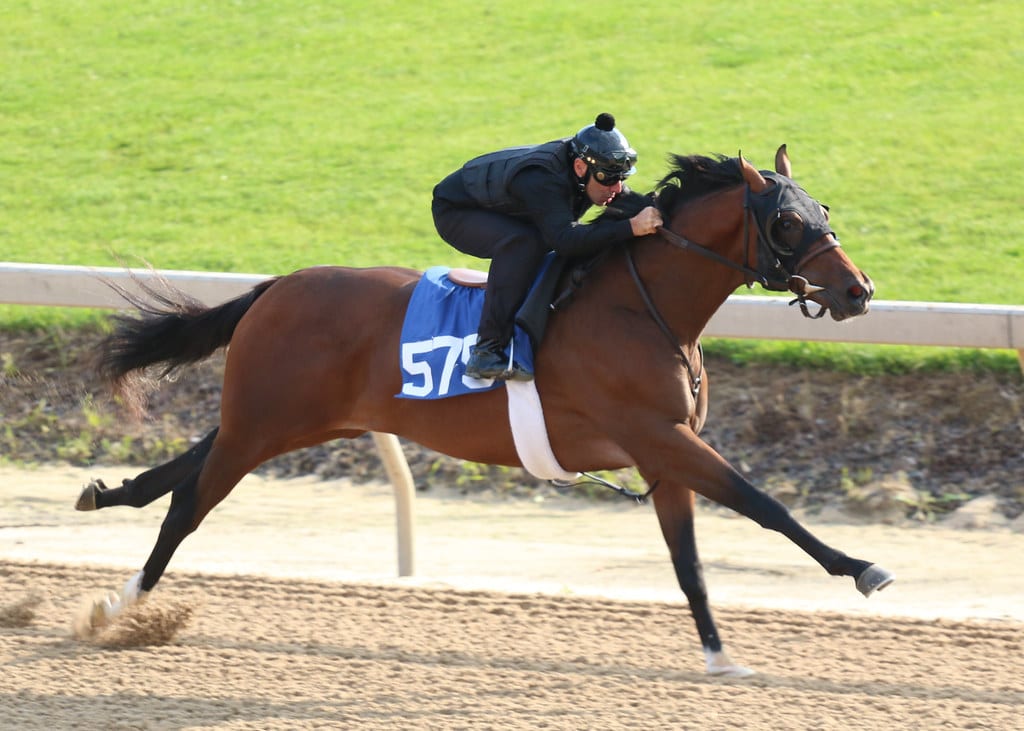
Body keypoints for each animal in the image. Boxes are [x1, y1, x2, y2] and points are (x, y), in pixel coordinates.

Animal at [74, 145, 888, 675]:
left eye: (823, 210)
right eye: (787, 223)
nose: (859, 291)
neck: (641, 305)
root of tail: (276, 286)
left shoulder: (665, 451)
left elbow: (688, 561)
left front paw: (719, 655)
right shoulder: (658, 435)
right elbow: (763, 503)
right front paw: (862, 568)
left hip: (289, 418)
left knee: (186, 466)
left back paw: (106, 495)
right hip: (265, 422)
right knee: (189, 503)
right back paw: (118, 607)